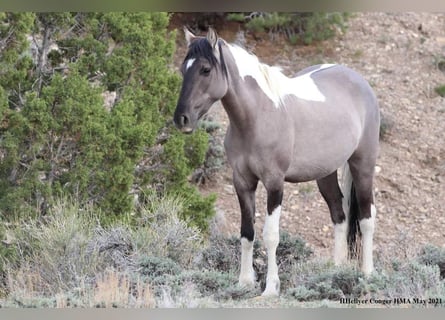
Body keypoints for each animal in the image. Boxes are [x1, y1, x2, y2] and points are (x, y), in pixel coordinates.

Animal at [173, 27, 378, 298]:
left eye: (205, 69)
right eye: (183, 69)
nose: (181, 118)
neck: (258, 117)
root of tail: (359, 81)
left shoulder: (274, 183)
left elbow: (271, 236)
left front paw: (271, 287)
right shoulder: (243, 182)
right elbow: (247, 233)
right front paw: (244, 282)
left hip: (362, 165)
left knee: (366, 218)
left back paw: (368, 275)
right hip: (325, 173)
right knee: (339, 216)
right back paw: (335, 273)